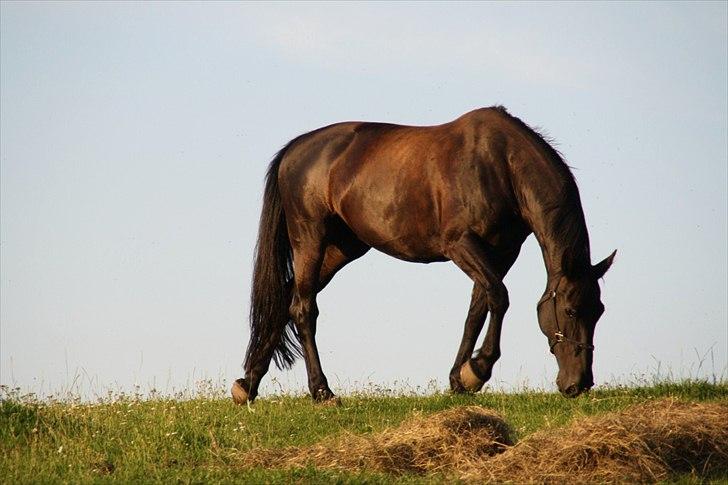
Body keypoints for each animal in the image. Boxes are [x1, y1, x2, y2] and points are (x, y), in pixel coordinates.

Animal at [232, 107, 616, 404]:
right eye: (570, 310)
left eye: (599, 311)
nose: (579, 383)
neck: (500, 165)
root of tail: (295, 148)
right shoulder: (461, 245)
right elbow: (499, 297)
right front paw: (479, 368)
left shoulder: (501, 253)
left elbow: (477, 309)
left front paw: (460, 378)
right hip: (310, 239)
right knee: (303, 308)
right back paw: (322, 392)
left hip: (342, 248)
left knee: (285, 299)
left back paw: (248, 384)